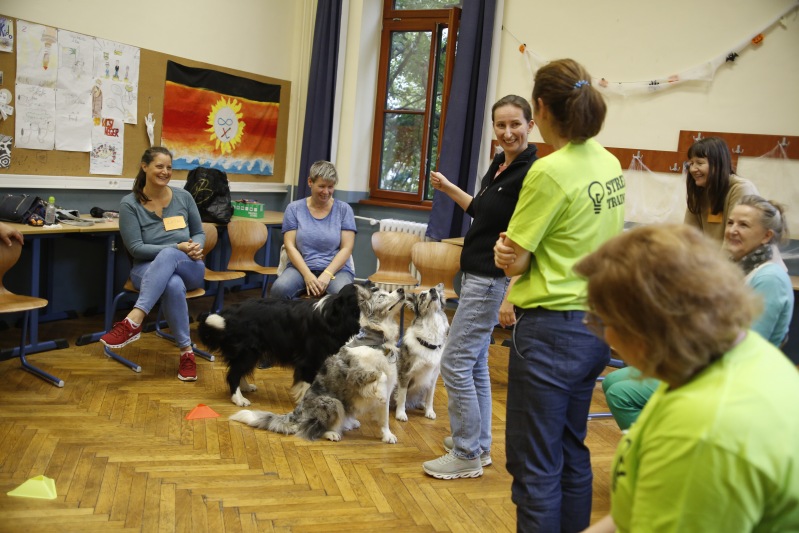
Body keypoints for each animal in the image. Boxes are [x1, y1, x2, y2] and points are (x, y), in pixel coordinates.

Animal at [198, 282, 364, 404]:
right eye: (360, 292)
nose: (370, 282)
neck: (333, 316)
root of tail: (226, 316)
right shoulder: (309, 361)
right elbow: (307, 384)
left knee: (238, 371)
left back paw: (245, 387)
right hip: (248, 352)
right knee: (233, 374)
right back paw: (239, 399)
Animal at [231, 284, 406, 442]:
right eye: (381, 295)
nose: (401, 290)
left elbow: (385, 418)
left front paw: (388, 436)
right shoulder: (349, 372)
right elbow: (380, 375)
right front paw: (380, 393)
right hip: (332, 401)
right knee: (310, 427)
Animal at [396, 282, 450, 420]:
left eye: (436, 291)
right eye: (422, 295)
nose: (432, 290)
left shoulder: (433, 376)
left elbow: (430, 397)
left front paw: (429, 411)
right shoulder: (404, 373)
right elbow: (402, 396)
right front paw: (400, 414)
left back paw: (422, 404)